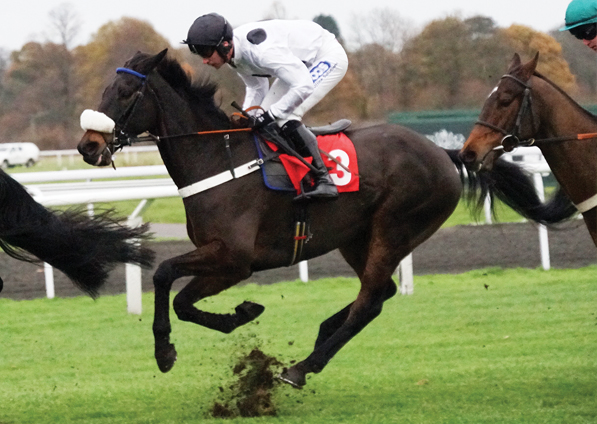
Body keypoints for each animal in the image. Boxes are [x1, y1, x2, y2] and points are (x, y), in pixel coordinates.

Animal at [77, 49, 576, 388]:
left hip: (396, 228)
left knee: (370, 300)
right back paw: (321, 336)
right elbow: (175, 292)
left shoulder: (235, 260)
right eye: (104, 89)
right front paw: (237, 315)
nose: (87, 146)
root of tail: (446, 153)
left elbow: (167, 279)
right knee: (378, 293)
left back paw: (303, 367)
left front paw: (175, 345)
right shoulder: (222, 259)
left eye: (125, 93)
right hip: (356, 237)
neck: (216, 158)